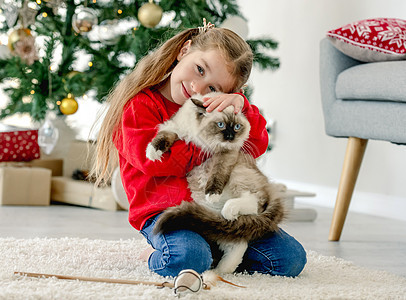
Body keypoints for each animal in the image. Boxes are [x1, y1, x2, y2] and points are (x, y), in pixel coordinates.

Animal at [146, 92, 286, 274]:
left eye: (237, 127)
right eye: (220, 125)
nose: (230, 137)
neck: (202, 140)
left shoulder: (226, 153)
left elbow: (217, 174)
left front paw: (212, 192)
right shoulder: (174, 128)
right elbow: (164, 136)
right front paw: (152, 153)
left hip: (238, 174)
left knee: (255, 203)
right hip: (209, 208)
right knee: (237, 242)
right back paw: (220, 271)